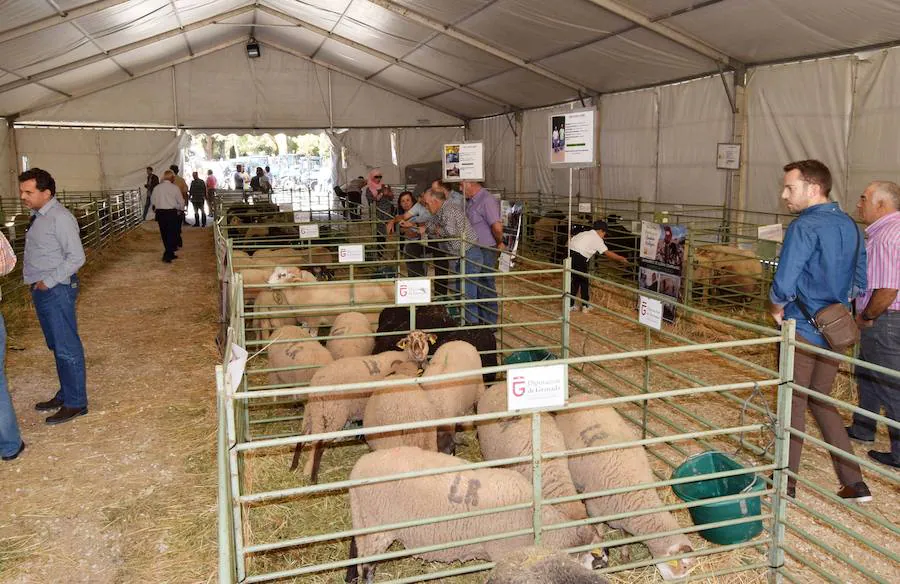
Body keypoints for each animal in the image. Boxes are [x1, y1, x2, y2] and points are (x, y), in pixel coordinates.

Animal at [290, 350, 414, 482]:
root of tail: (318, 383)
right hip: (334, 413)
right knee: (319, 445)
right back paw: (313, 478)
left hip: (313, 412)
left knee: (302, 438)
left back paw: (294, 467)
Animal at [344, 450, 604, 580]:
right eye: (597, 561)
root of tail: (358, 468)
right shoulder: (503, 552)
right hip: (376, 524)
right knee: (367, 565)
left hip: (362, 518)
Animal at [556, 394, 696, 580]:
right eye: (684, 567)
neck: (637, 497)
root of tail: (582, 396)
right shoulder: (595, 509)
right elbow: (599, 529)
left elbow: (625, 536)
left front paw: (625, 555)